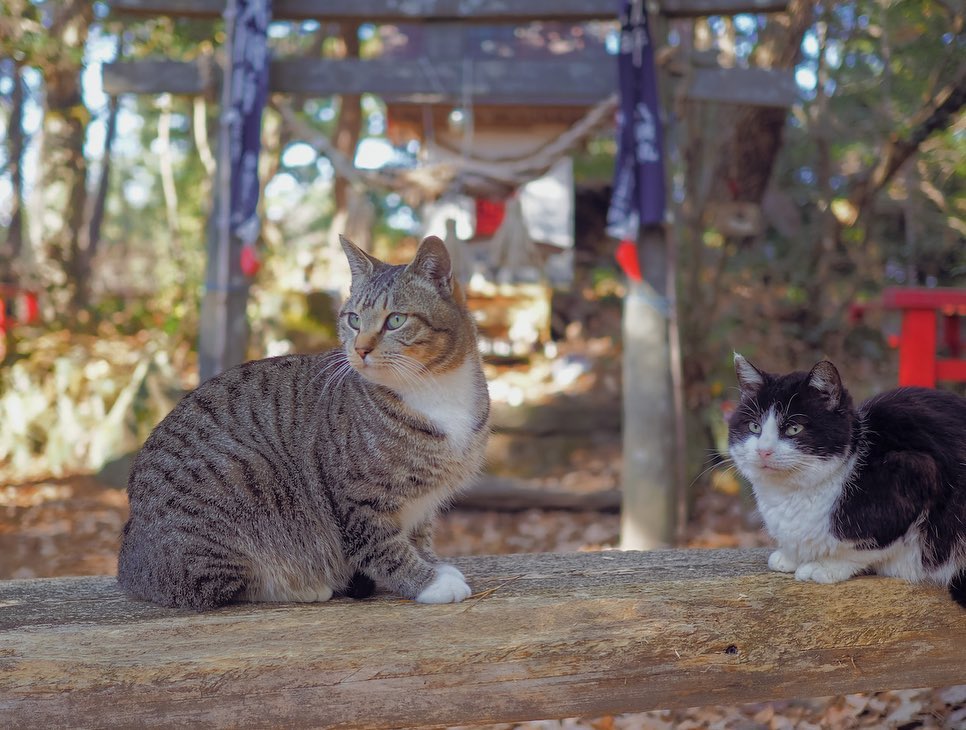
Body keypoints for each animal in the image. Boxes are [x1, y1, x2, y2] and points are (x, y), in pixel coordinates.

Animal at [118, 235, 492, 608]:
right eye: (354, 320)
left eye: (396, 320)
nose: (360, 349)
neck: (434, 389)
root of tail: (129, 560)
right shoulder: (358, 500)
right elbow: (385, 549)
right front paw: (429, 581)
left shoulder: (423, 503)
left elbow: (419, 535)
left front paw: (433, 563)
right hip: (241, 489)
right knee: (218, 586)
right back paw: (301, 586)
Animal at [732, 352, 966, 604]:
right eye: (754, 427)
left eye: (794, 429)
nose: (763, 451)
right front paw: (790, 556)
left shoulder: (916, 471)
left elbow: (866, 546)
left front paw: (824, 566)